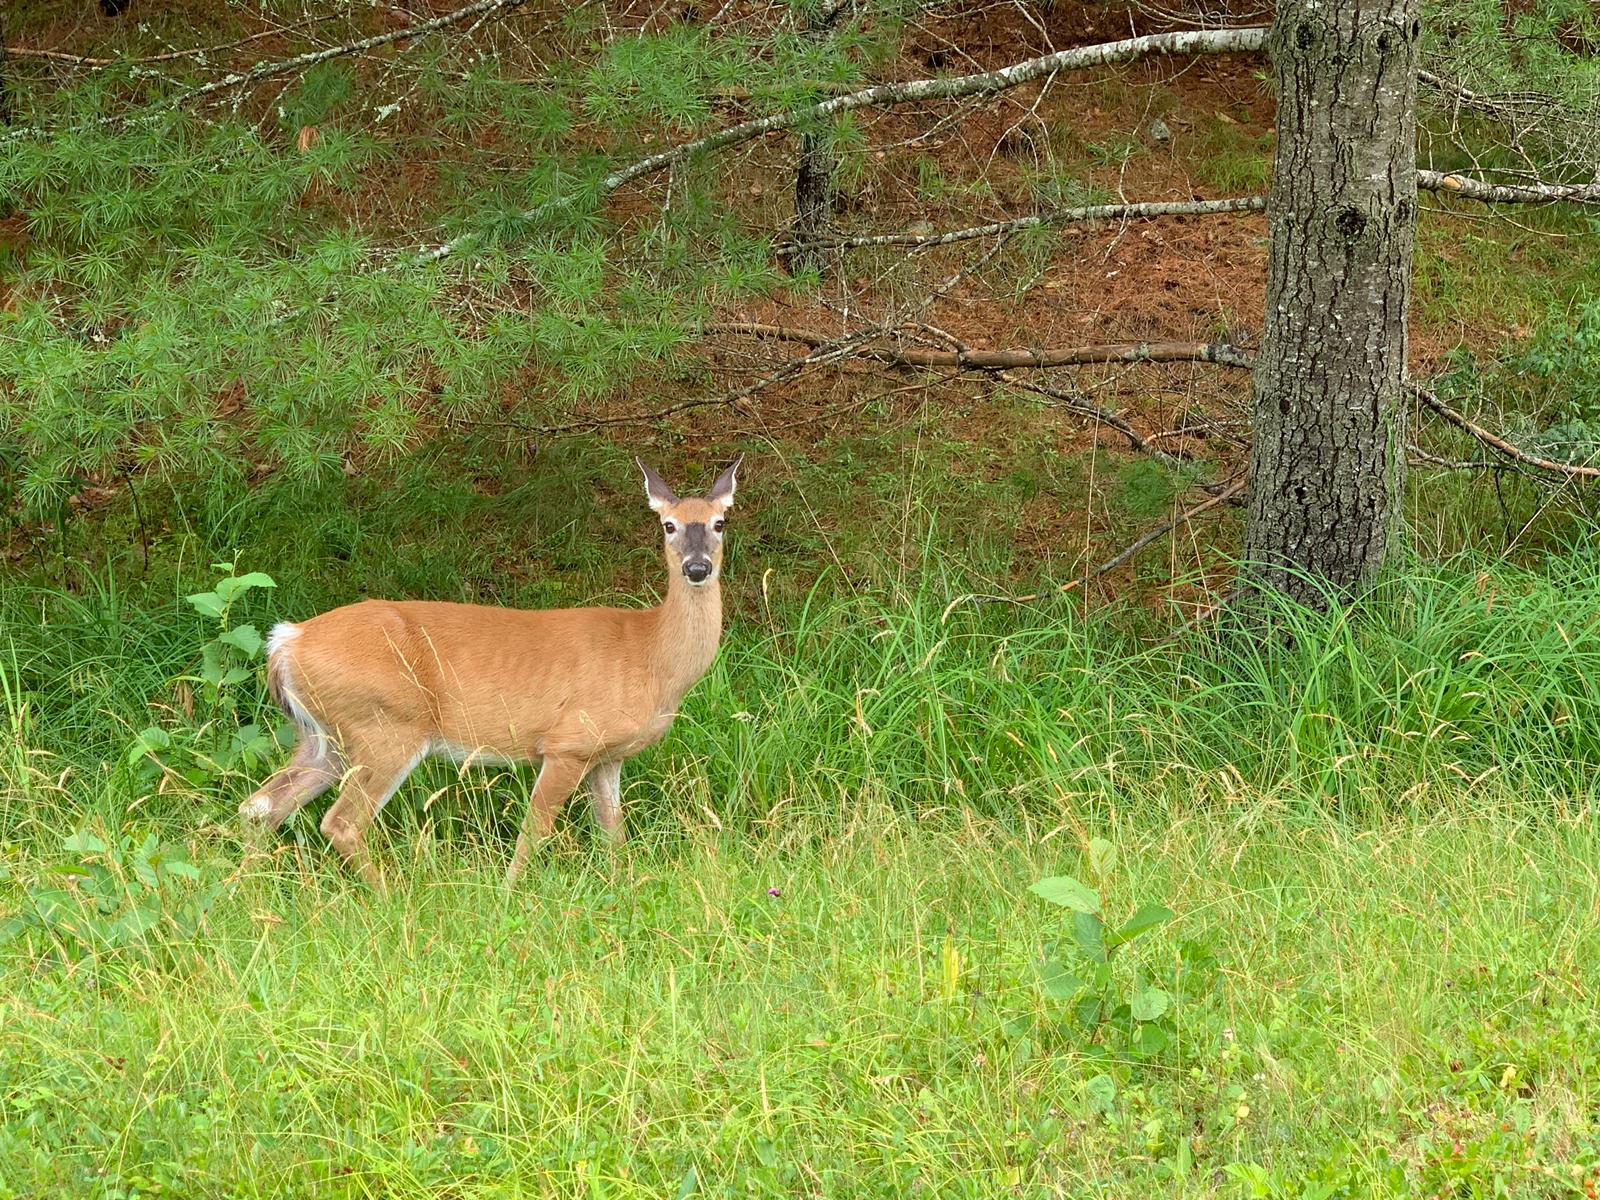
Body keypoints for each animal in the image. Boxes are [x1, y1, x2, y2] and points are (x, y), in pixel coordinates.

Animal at [239, 455, 741, 889]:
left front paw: (623, 889)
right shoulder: (568, 742)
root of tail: (286, 642)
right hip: (385, 725)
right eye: (668, 525)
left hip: (327, 736)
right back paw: (392, 896)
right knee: (339, 821)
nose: (697, 567)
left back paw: (246, 890)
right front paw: (507, 893)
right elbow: (535, 830)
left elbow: (612, 833)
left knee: (260, 805)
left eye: (720, 522)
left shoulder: (606, 755)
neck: (650, 655)